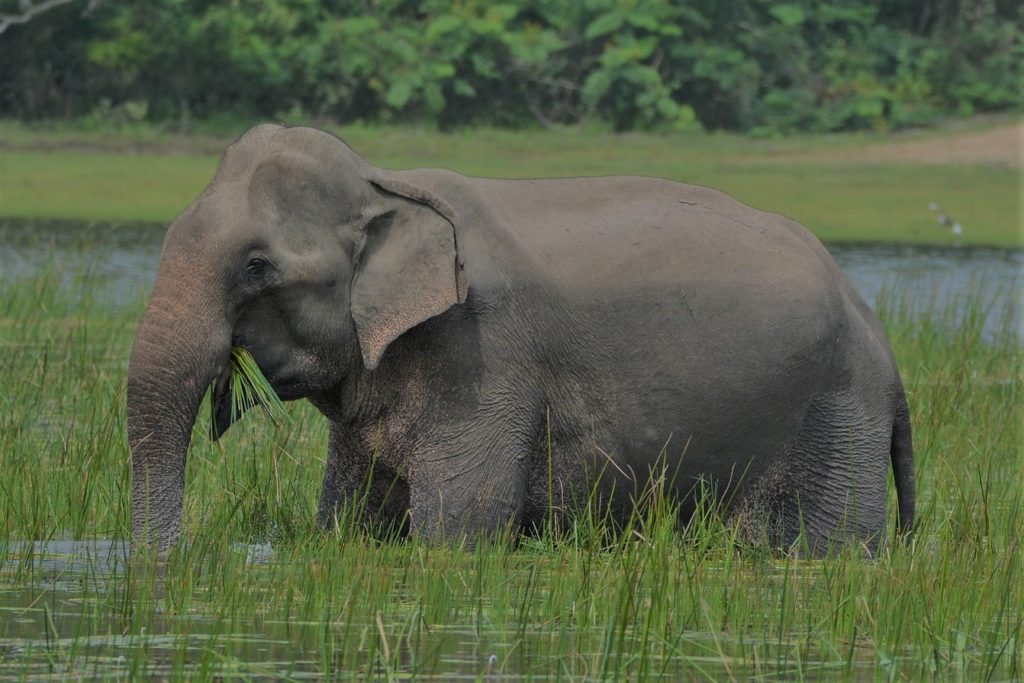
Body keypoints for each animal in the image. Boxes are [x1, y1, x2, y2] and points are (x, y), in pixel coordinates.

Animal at [123, 125, 917, 557]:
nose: (172, 561)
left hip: (836, 422)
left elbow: (461, 527)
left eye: (257, 266)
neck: (387, 182)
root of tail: (876, 328)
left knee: (827, 540)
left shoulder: (481, 353)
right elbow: (352, 522)